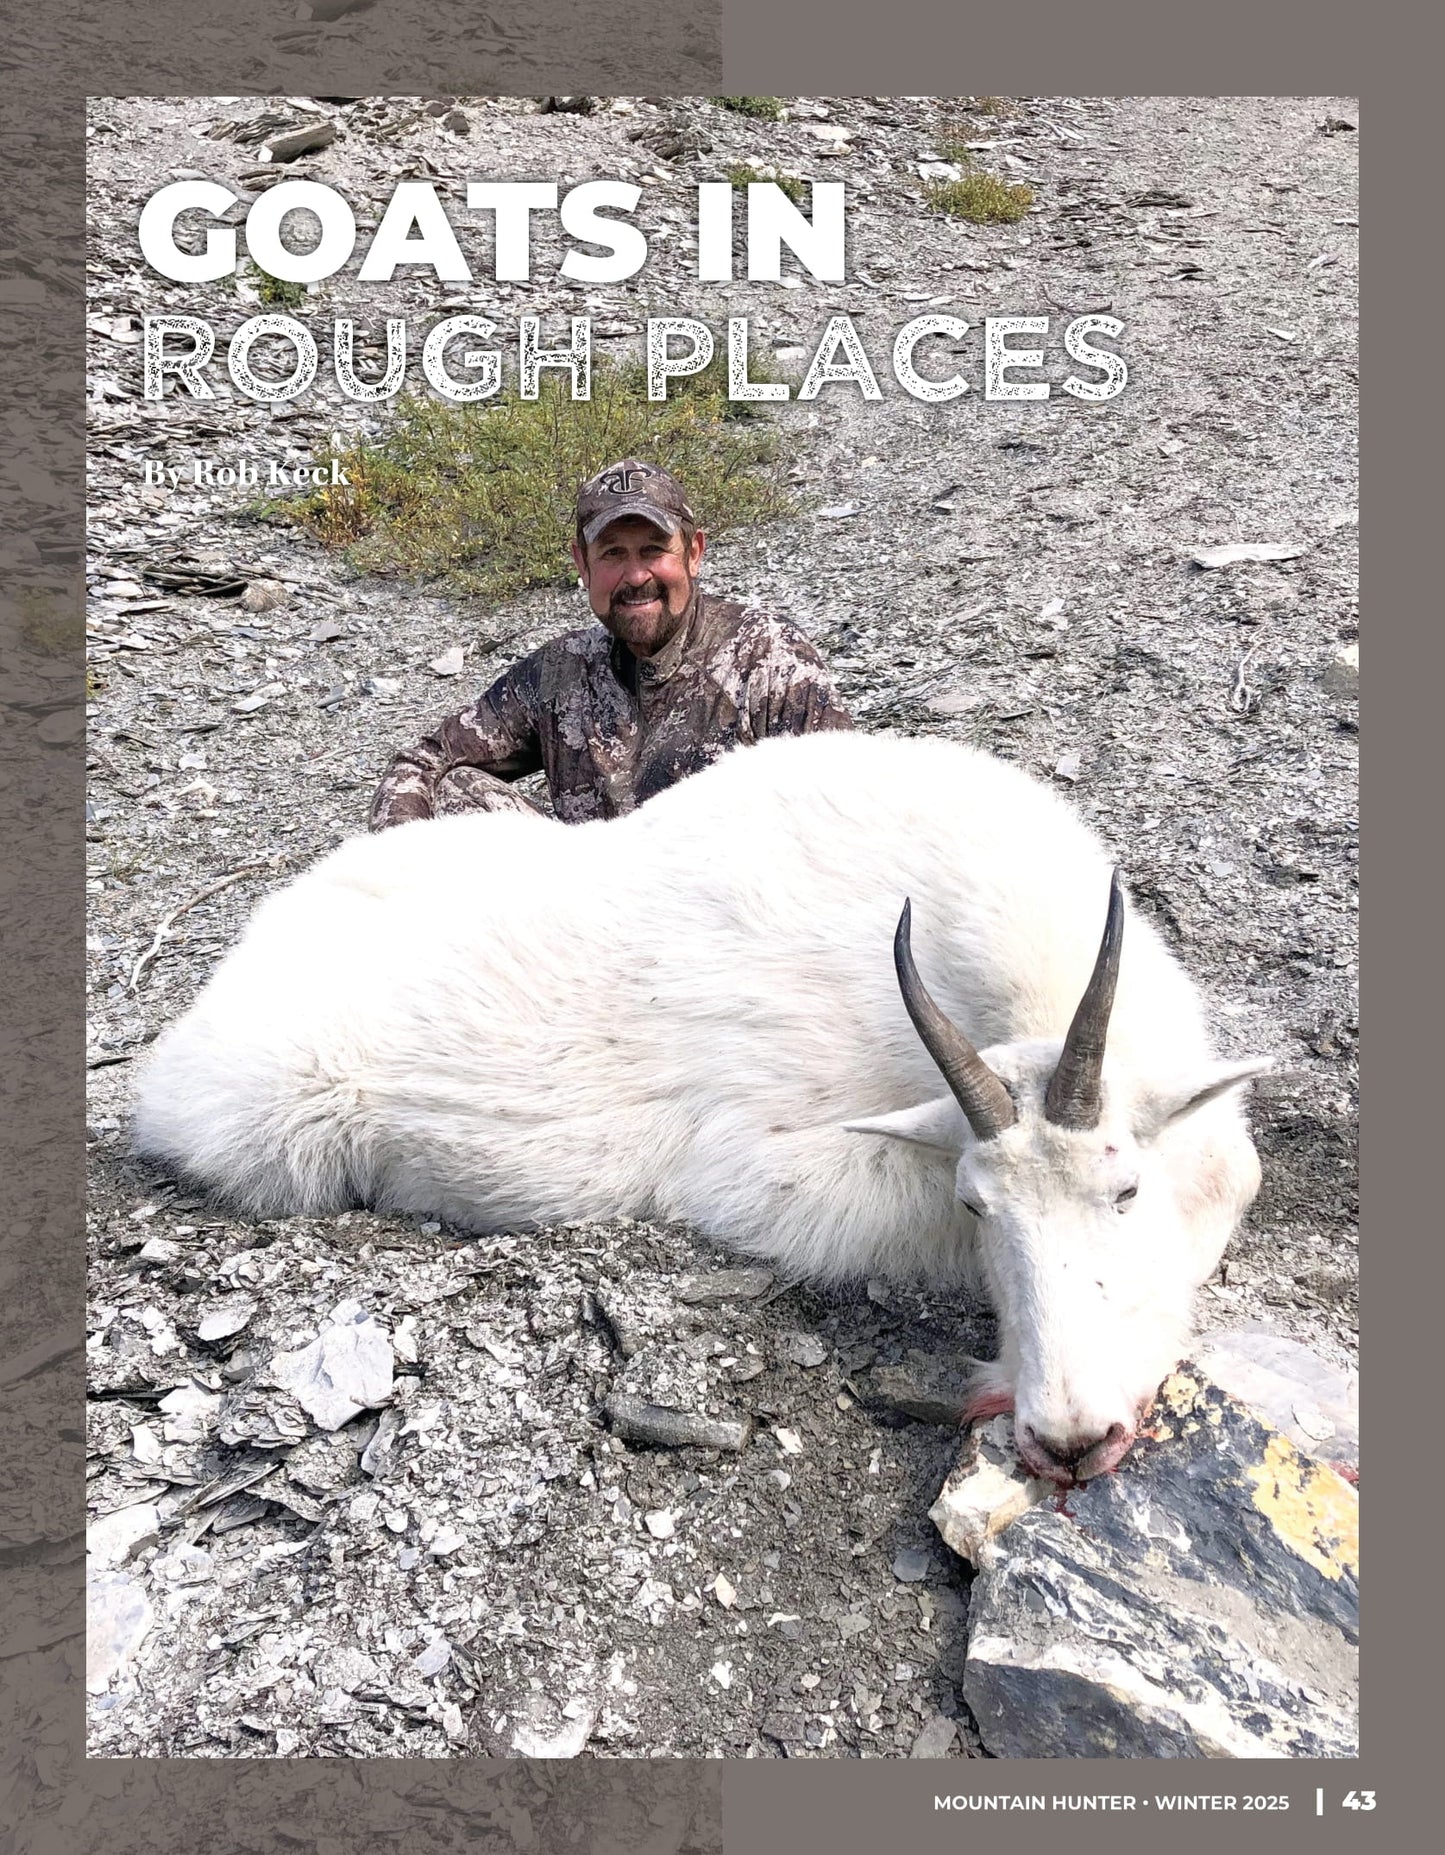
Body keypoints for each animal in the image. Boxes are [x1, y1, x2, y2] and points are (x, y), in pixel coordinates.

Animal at [132, 730, 1269, 1484]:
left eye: (1123, 1190)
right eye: (977, 1207)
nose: (1068, 1439)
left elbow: (1229, 1176)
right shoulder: (761, 1170)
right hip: (281, 1130)